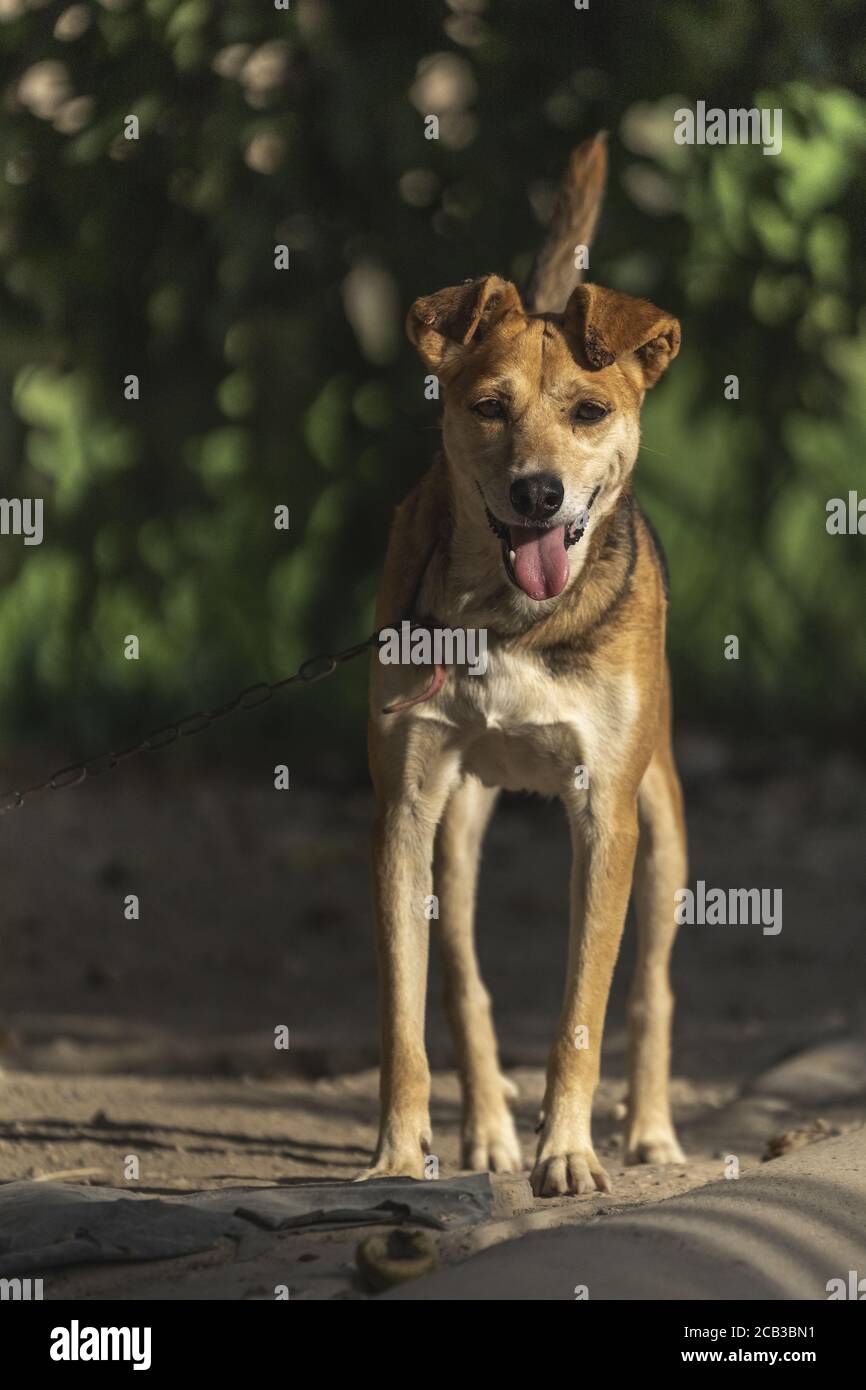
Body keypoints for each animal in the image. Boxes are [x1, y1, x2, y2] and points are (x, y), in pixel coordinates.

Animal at [358, 132, 683, 1195]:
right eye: (490, 408)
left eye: (588, 411)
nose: (539, 494)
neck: (510, 622)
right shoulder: (405, 804)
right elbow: (405, 1014)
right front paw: (397, 1156)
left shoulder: (608, 812)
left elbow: (587, 1007)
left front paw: (570, 1153)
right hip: (457, 823)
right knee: (461, 973)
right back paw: (490, 1132)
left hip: (663, 822)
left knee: (653, 986)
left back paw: (652, 1130)